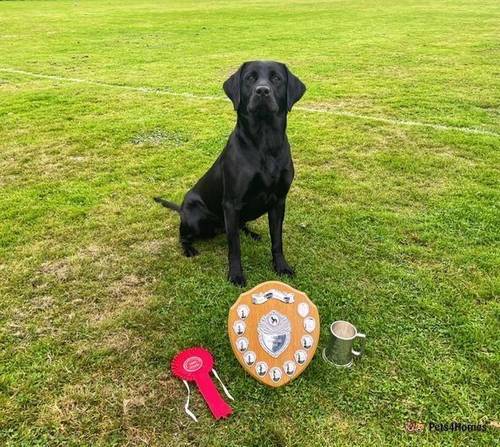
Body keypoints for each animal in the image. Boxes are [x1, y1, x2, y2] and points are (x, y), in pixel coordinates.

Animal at [155, 60, 304, 288]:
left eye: (276, 78)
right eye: (250, 78)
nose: (262, 91)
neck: (264, 143)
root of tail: (181, 207)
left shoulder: (279, 201)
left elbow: (277, 240)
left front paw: (282, 267)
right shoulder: (231, 204)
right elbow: (234, 247)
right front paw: (235, 275)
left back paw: (252, 233)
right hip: (195, 218)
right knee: (184, 235)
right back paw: (189, 248)